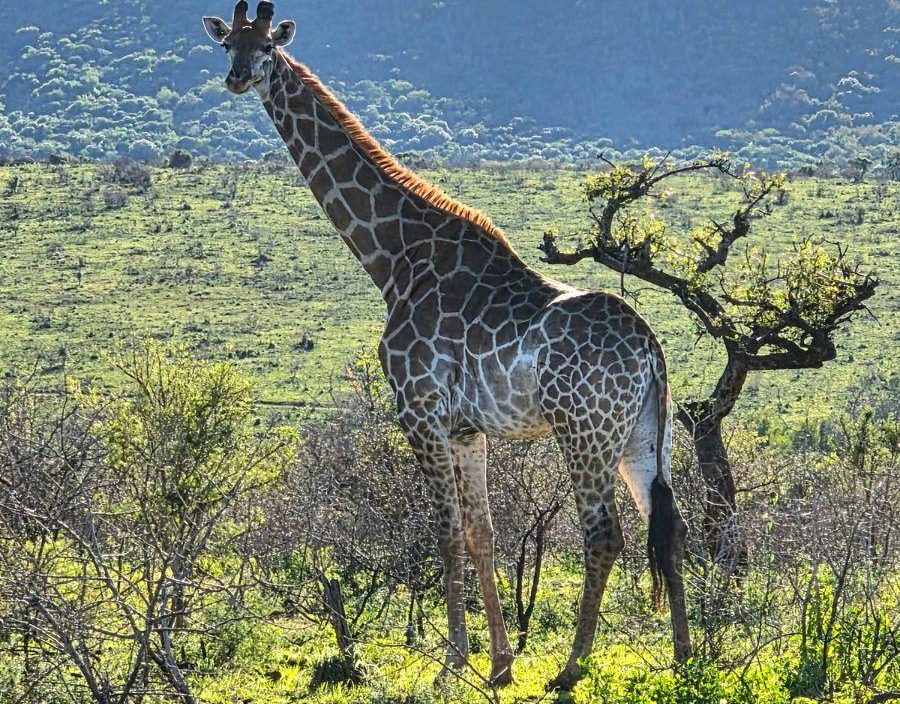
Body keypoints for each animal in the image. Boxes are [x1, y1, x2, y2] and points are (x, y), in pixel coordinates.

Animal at [202, 2, 692, 690]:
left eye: (268, 47)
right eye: (229, 47)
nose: (238, 78)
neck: (393, 259)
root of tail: (651, 350)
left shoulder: (418, 409)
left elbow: (446, 531)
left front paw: (453, 662)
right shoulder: (466, 428)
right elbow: (484, 533)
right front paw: (500, 664)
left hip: (584, 429)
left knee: (604, 535)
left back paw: (571, 669)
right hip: (643, 434)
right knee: (666, 525)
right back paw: (683, 657)